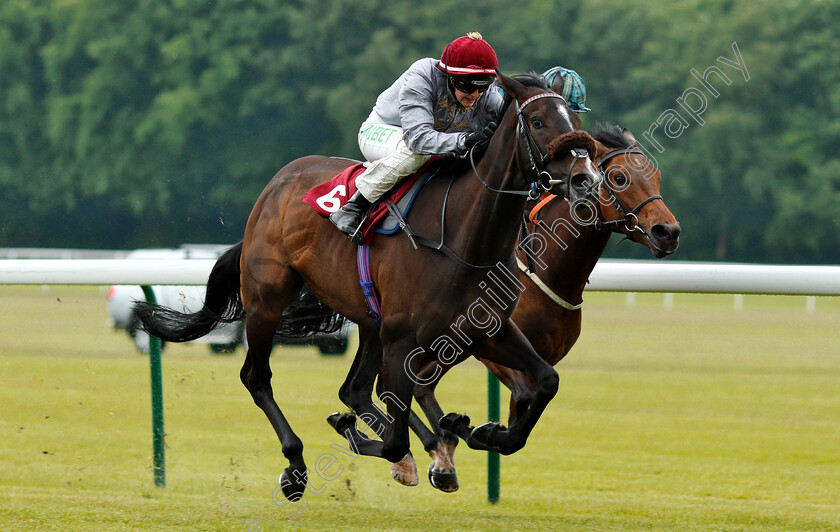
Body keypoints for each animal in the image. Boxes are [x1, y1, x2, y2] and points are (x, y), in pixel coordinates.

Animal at [135, 72, 604, 500]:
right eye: (539, 122)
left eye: (575, 119)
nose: (586, 178)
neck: (463, 236)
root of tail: (275, 185)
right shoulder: (402, 337)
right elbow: (393, 435)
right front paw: (370, 437)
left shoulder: (485, 329)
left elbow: (545, 382)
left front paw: (487, 434)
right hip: (267, 298)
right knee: (258, 376)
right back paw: (298, 465)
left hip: (369, 320)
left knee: (356, 389)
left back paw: (434, 450)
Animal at [332, 122, 680, 492]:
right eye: (618, 177)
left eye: (657, 176)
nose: (668, 231)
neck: (547, 267)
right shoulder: (484, 343)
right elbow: (521, 396)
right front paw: (471, 431)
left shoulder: (530, 352)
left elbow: (525, 407)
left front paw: (479, 432)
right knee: (401, 386)